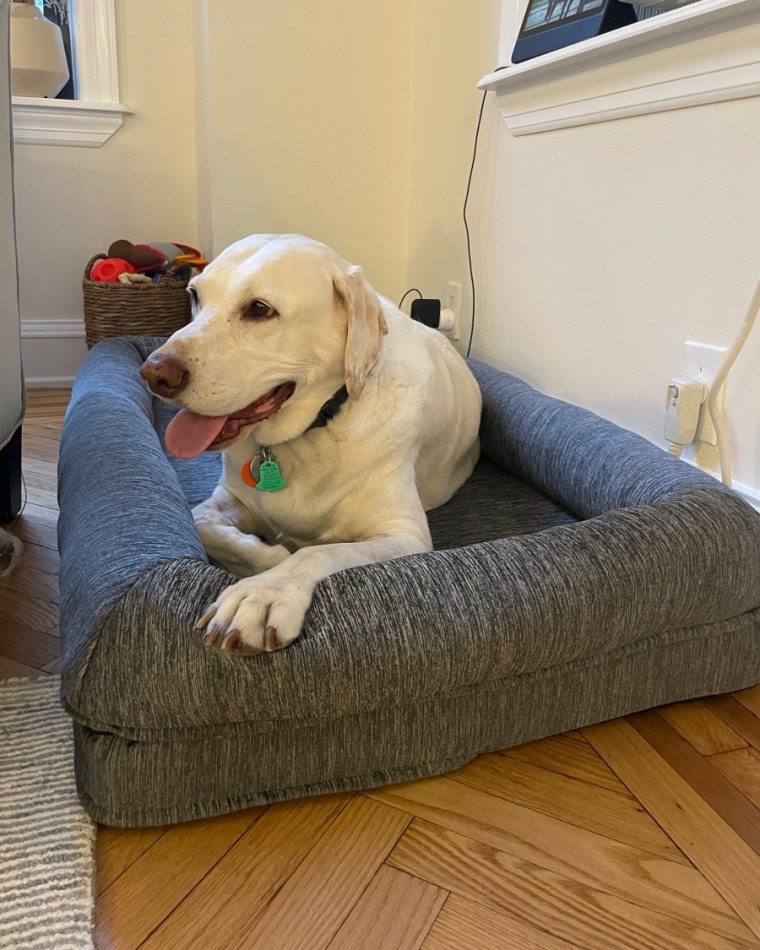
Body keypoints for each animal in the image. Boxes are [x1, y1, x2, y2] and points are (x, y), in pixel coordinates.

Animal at [140, 237, 478, 656]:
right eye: (194, 295)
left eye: (259, 309)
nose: (154, 373)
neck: (321, 420)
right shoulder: (228, 499)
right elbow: (203, 523)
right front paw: (269, 556)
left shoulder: (405, 534)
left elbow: (317, 551)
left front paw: (264, 592)